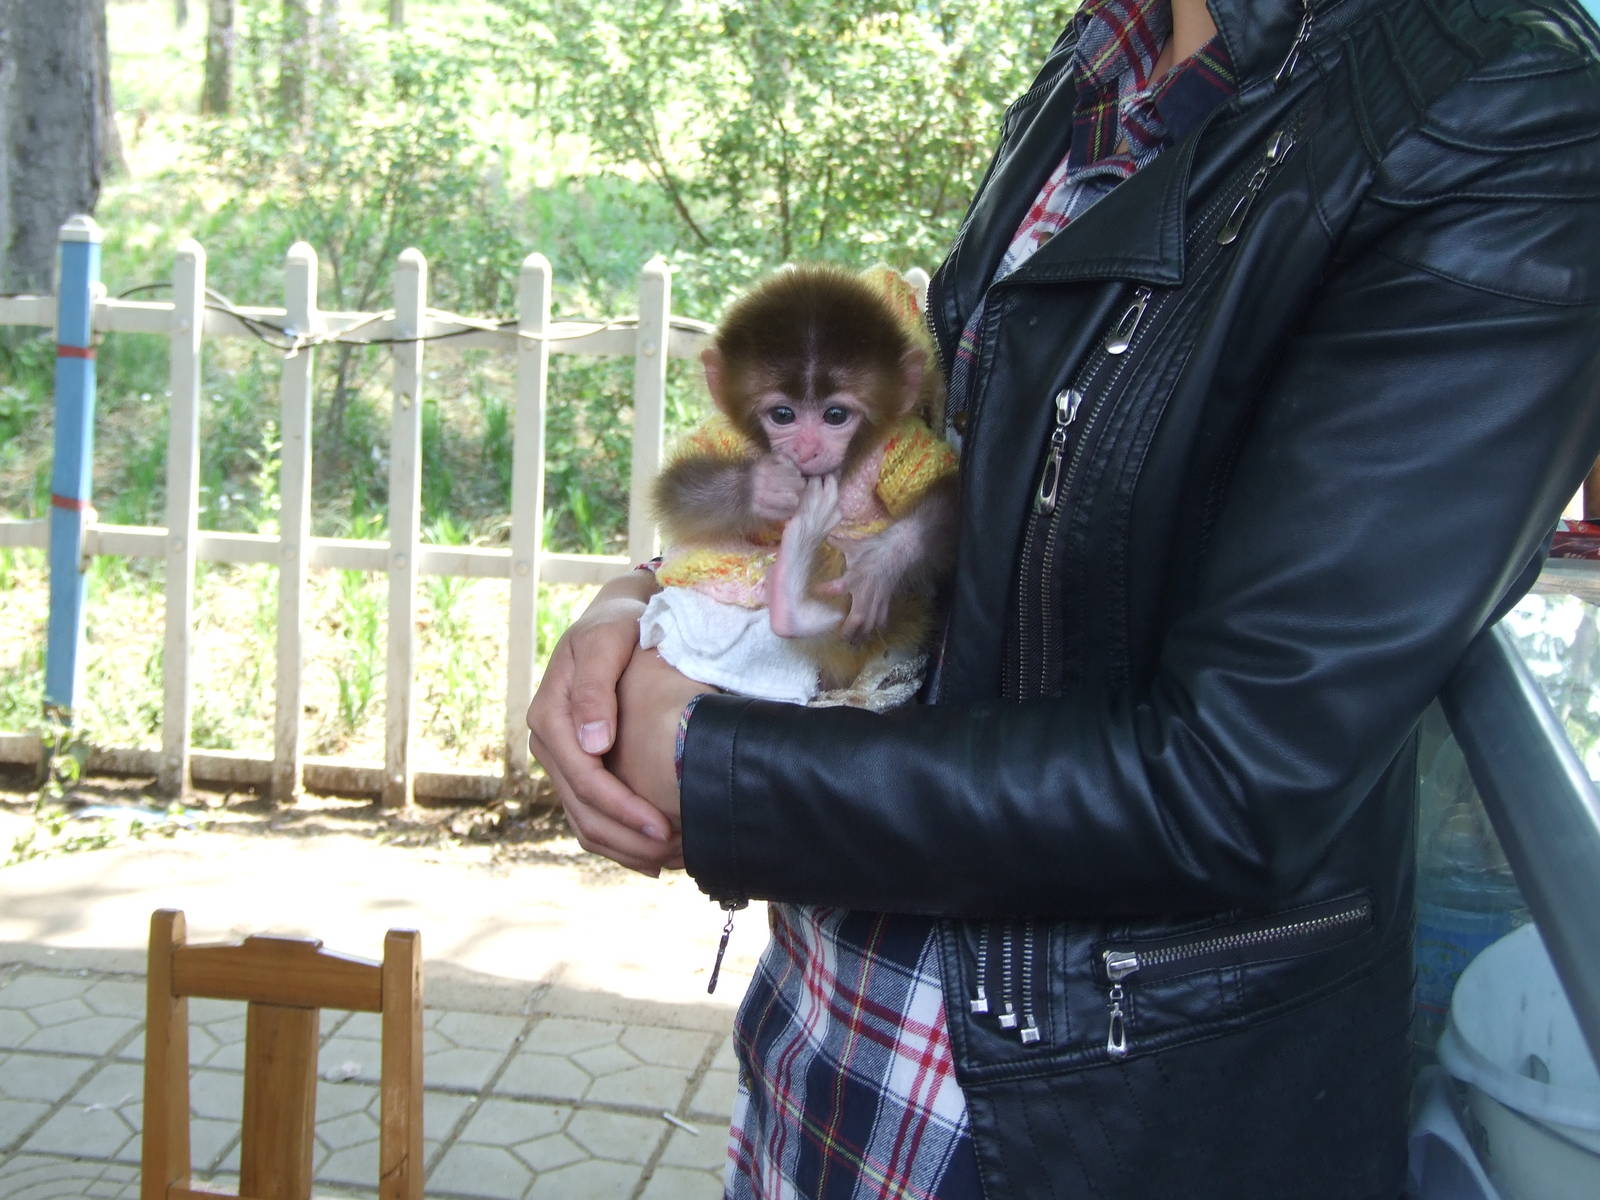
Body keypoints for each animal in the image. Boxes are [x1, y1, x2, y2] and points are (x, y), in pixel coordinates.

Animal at [637, 264, 958, 706]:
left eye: (835, 415)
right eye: (783, 415)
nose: (806, 450)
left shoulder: (901, 440)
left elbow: (948, 495)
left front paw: (879, 565)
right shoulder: (729, 435)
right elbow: (675, 492)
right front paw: (765, 486)